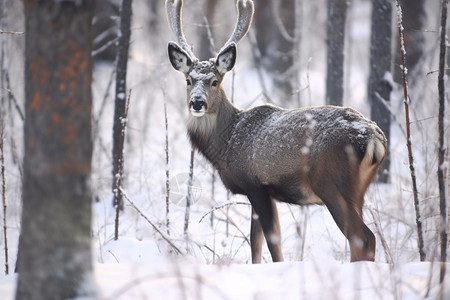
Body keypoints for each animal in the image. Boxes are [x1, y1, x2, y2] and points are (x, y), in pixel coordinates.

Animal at [165, 0, 386, 262]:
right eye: (188, 80)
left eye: (215, 81)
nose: (197, 103)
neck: (229, 142)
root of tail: (373, 138)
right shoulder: (262, 193)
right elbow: (256, 242)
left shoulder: (256, 184)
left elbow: (272, 242)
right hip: (358, 191)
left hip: (331, 182)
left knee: (362, 237)